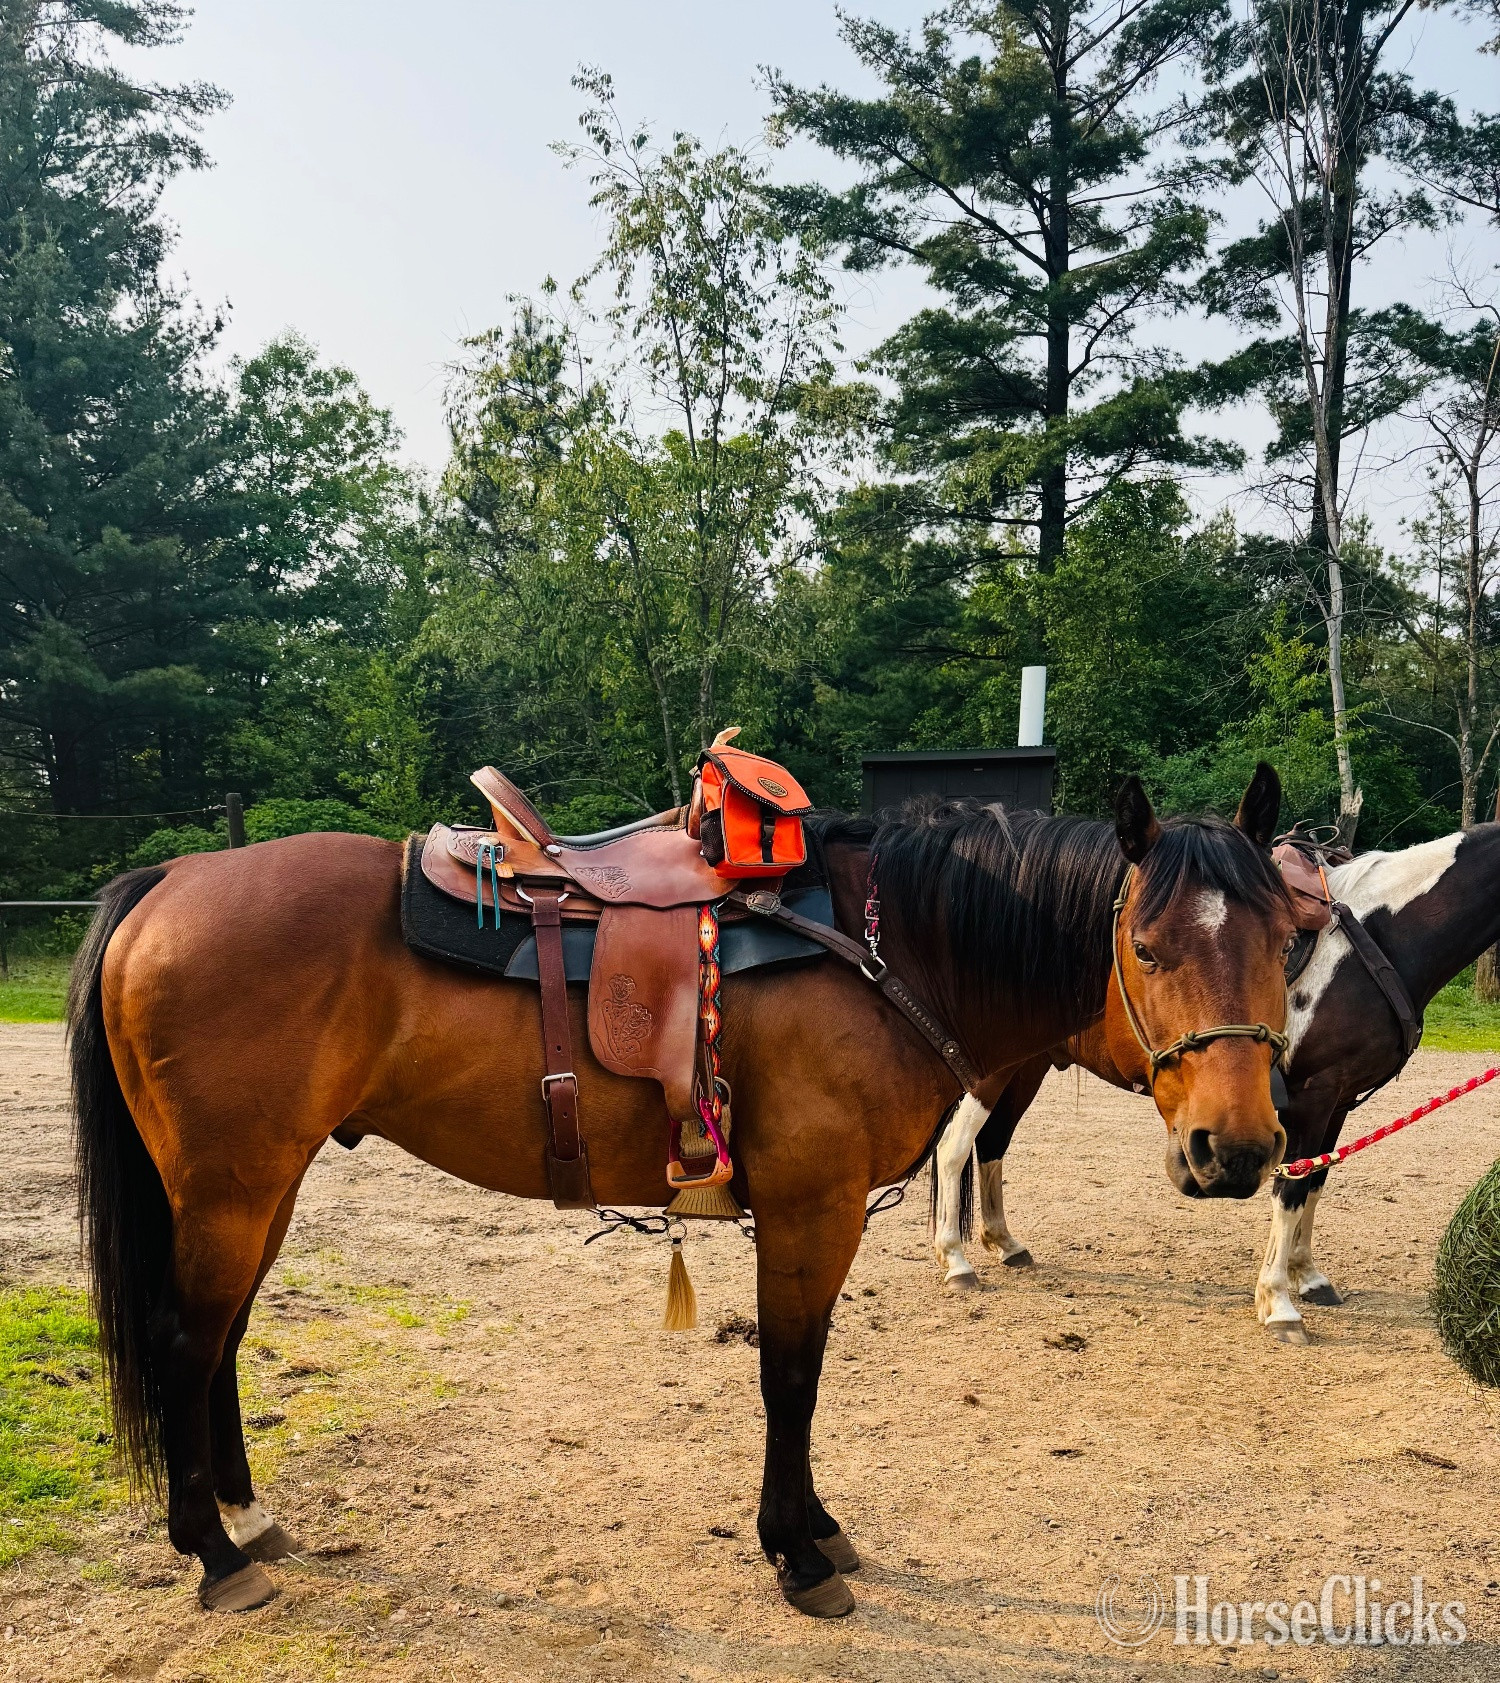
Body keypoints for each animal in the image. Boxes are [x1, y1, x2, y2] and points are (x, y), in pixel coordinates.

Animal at [67, 771, 1294, 1620]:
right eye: (1146, 946)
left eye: (1288, 940)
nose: (1232, 1152)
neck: (885, 949)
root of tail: (170, 879)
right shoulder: (810, 1208)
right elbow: (790, 1379)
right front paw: (796, 1551)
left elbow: (803, 1376)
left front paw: (816, 1528)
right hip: (231, 1190)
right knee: (185, 1344)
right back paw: (212, 1555)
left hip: (259, 1188)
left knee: (221, 1343)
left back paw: (248, 1518)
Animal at [931, 823, 1500, 1342]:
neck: (1379, 940)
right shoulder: (1313, 1096)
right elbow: (1292, 1188)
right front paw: (1278, 1302)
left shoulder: (1338, 1101)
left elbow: (1316, 1181)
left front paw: (1308, 1276)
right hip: (991, 1071)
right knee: (955, 1147)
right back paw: (956, 1259)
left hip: (1028, 1065)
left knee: (993, 1142)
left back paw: (1006, 1243)